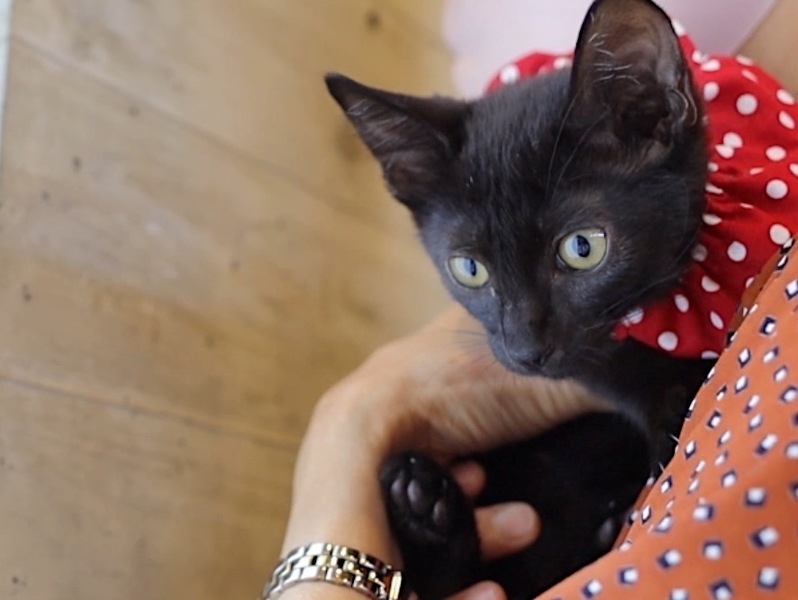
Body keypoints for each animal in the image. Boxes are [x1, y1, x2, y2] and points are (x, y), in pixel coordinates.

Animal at [326, 0, 715, 597]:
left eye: (583, 248)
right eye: (469, 269)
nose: (526, 350)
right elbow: (617, 376)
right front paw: (669, 408)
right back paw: (421, 502)